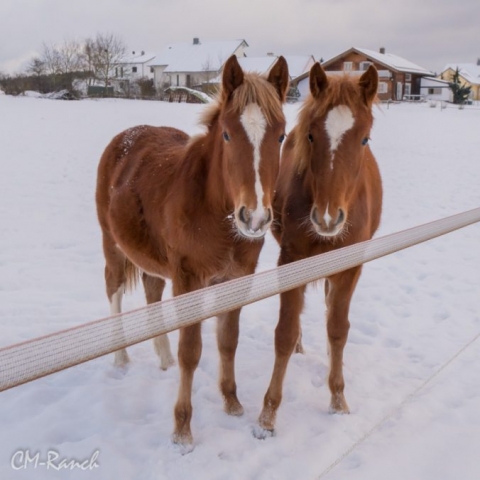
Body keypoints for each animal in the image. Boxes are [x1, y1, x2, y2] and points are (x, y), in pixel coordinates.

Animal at [95, 54, 286, 444]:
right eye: (227, 134)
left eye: (282, 135)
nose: (255, 217)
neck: (212, 210)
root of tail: (123, 139)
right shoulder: (189, 279)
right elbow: (191, 352)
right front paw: (182, 428)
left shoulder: (237, 278)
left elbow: (227, 340)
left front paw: (231, 401)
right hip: (113, 246)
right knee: (114, 291)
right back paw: (121, 358)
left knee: (152, 291)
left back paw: (163, 357)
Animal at [256, 62, 384, 434]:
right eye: (311, 136)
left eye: (364, 138)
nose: (328, 218)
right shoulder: (291, 261)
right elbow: (284, 333)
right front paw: (267, 416)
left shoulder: (349, 268)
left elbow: (338, 329)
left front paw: (338, 399)